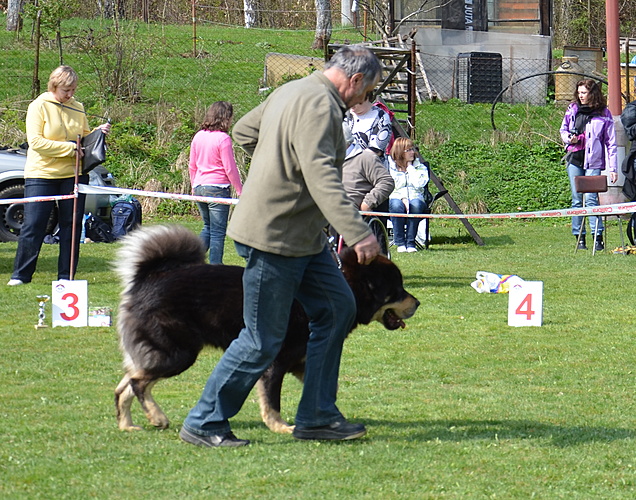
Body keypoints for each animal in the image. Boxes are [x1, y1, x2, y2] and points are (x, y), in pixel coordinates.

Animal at [116, 226, 420, 434]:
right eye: (397, 290)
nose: (417, 302)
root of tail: (149, 278)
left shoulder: (302, 360)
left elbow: (323, 387)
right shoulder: (276, 363)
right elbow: (272, 401)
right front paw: (280, 426)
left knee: (124, 385)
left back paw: (127, 425)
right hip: (179, 353)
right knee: (137, 382)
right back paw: (157, 417)